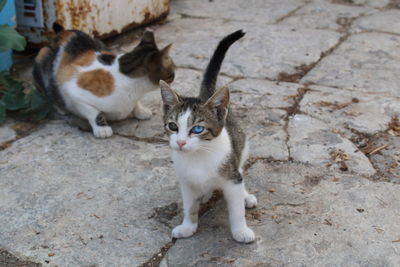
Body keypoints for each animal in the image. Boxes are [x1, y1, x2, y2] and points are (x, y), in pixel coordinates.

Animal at [34, 23, 177, 138]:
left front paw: (141, 111)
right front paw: (102, 129)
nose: (175, 75)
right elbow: (94, 112)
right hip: (42, 60)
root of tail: (64, 32)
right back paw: (61, 108)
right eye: (172, 71)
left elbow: (136, 103)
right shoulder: (74, 92)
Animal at [159, 30, 256, 244]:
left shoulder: (231, 180)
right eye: (172, 126)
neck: (198, 156)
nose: (180, 142)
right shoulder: (185, 181)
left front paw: (241, 231)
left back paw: (245, 196)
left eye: (197, 129)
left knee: (240, 168)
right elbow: (189, 206)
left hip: (242, 145)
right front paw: (188, 227)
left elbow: (237, 210)